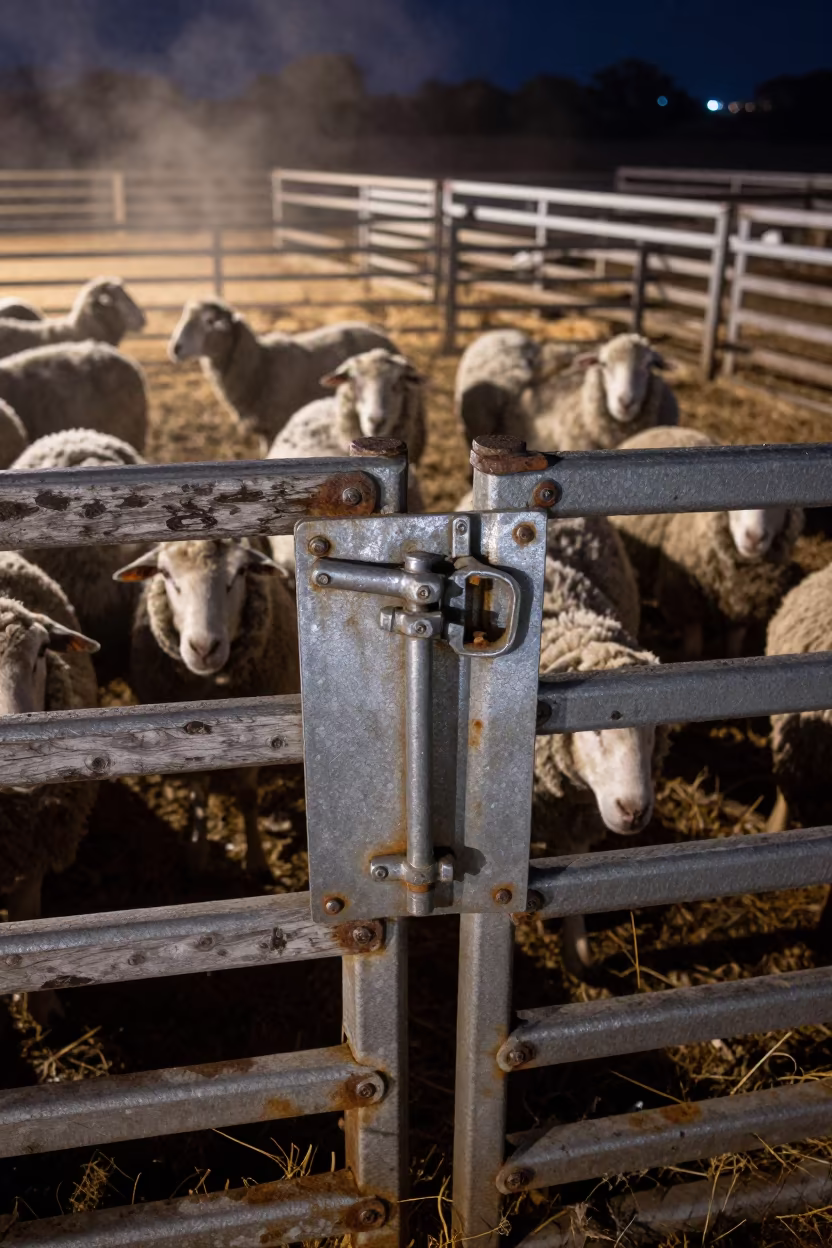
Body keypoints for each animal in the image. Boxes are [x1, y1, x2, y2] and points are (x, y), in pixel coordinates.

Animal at [114, 538, 299, 879]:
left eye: (241, 571)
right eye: (165, 573)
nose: (204, 648)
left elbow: (247, 795)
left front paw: (256, 860)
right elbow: (198, 790)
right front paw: (197, 852)